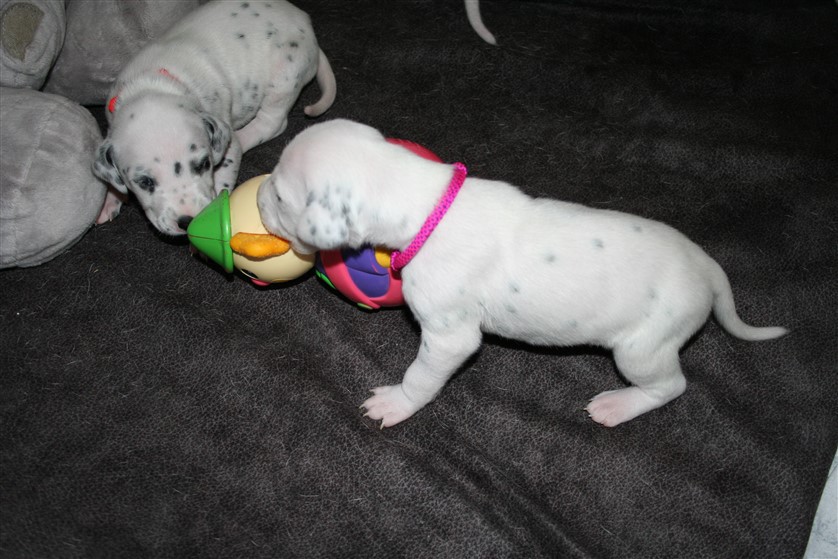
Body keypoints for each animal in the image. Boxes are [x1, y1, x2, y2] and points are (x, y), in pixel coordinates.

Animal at [93, 0, 336, 236]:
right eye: (145, 182)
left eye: (204, 164)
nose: (188, 221)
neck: (151, 84)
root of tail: (306, 23)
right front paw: (108, 200)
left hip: (285, 74)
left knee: (272, 122)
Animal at [257, 119, 787, 428]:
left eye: (280, 196)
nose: (258, 194)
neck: (426, 200)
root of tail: (708, 268)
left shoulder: (449, 336)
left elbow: (423, 375)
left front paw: (395, 403)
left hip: (643, 348)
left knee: (670, 386)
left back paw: (617, 406)